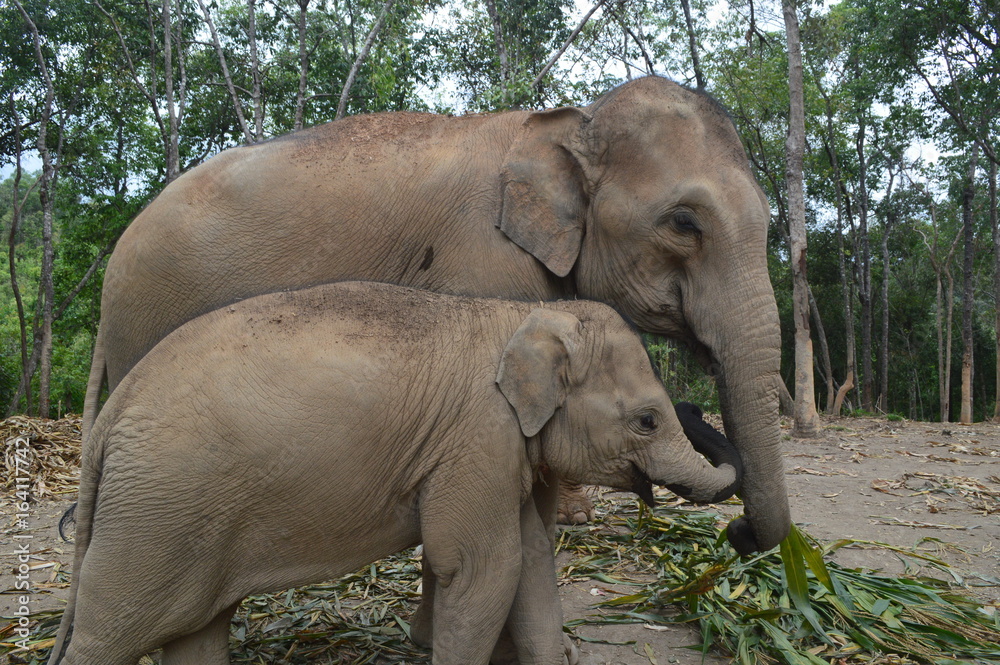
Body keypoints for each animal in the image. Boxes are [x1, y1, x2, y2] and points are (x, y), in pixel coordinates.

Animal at [49, 282, 744, 665]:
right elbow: (483, 566)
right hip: (155, 511)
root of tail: (108, 419)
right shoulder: (477, 439)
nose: (695, 406)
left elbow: (529, 561)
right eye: (648, 420)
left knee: (197, 630)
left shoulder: (495, 451)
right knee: (109, 636)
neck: (518, 313)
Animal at [81, 75, 788, 553]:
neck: (567, 121)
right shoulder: (483, 255)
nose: (741, 534)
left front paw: (573, 518)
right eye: (685, 224)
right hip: (145, 318)